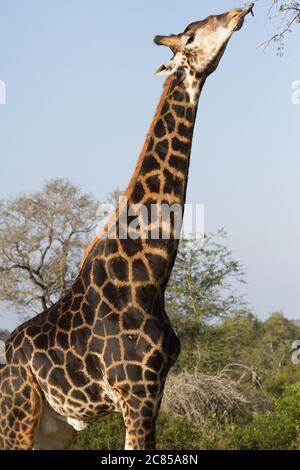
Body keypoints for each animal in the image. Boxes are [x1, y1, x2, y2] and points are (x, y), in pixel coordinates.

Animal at [0, 4, 253, 452]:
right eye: (193, 34)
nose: (240, 11)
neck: (149, 274)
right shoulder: (136, 390)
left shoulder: (156, 389)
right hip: (17, 413)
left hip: (55, 426)